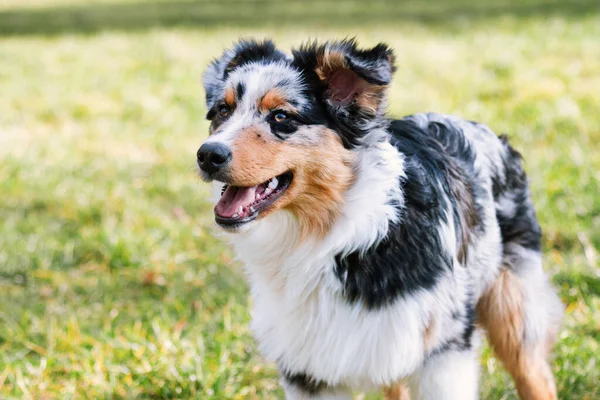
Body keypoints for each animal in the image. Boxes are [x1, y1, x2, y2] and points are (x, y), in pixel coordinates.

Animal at [196, 38, 564, 400]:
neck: (334, 237)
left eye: (281, 116)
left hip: (513, 309)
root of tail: (488, 132)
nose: (208, 155)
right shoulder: (308, 367)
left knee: (535, 375)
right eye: (223, 111)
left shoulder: (443, 353)